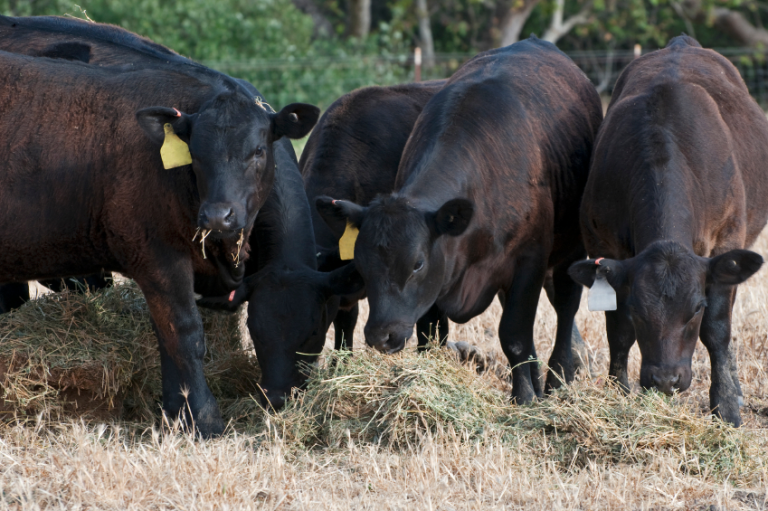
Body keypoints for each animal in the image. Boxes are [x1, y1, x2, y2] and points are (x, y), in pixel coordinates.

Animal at [316, 37, 604, 404]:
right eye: (361, 264)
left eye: (417, 263)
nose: (381, 336)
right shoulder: (439, 286)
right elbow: (429, 334)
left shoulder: (529, 260)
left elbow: (514, 334)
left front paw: (524, 397)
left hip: (569, 248)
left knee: (566, 307)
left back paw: (558, 377)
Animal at [568, 36, 764, 426]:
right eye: (637, 308)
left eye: (696, 307)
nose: (665, 379)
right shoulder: (602, 244)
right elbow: (618, 330)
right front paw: (619, 392)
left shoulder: (727, 241)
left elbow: (717, 330)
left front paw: (726, 407)